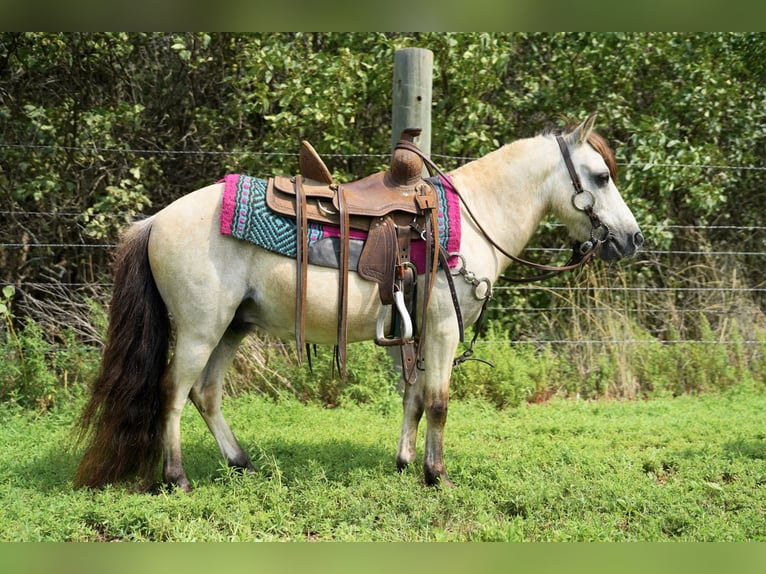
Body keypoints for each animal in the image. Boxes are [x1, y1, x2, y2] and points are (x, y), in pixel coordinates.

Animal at [73, 113, 643, 492]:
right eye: (601, 177)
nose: (632, 239)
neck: (472, 215)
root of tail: (156, 221)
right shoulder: (442, 327)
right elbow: (438, 401)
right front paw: (437, 475)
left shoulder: (413, 330)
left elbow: (414, 398)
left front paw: (405, 462)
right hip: (199, 328)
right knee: (173, 392)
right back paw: (176, 478)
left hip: (232, 327)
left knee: (205, 393)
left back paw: (241, 463)